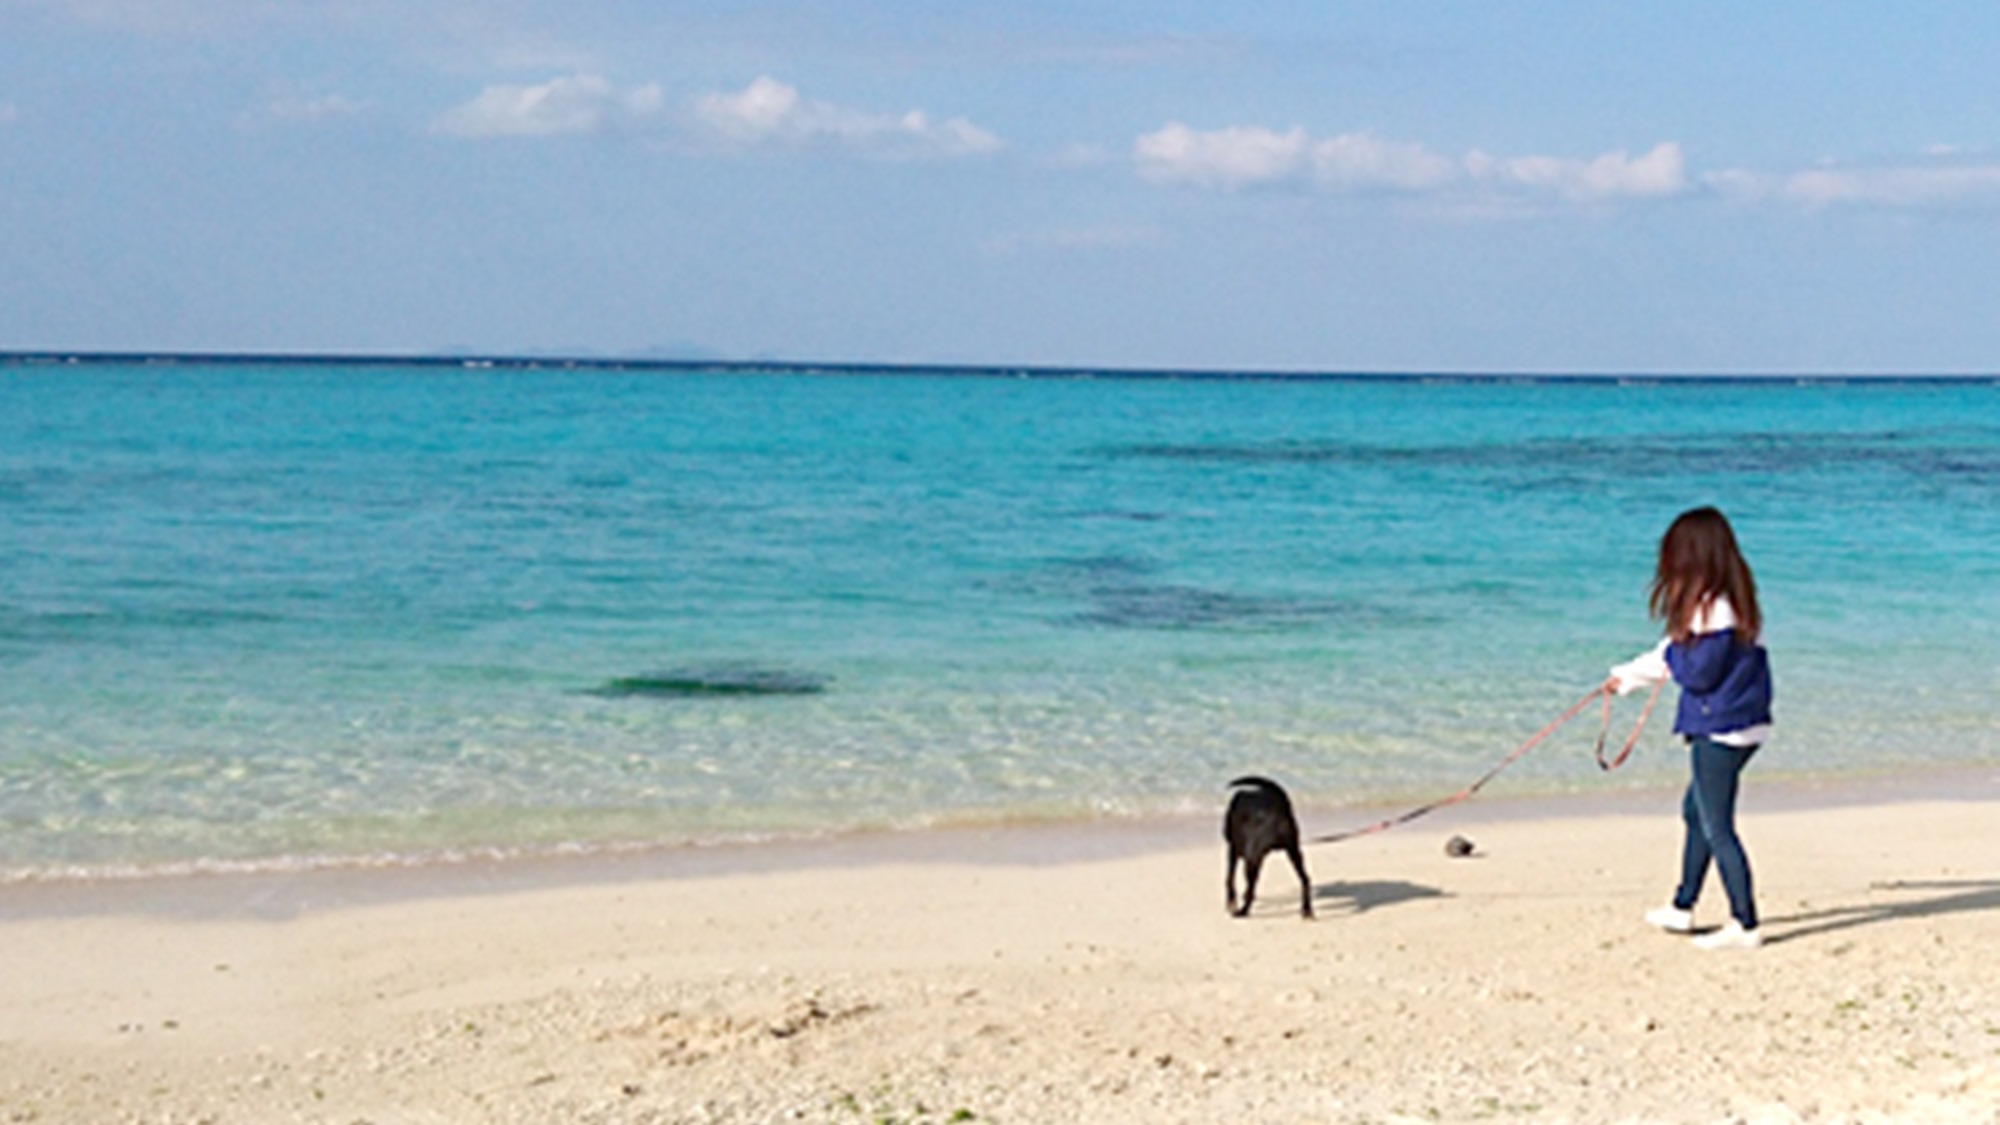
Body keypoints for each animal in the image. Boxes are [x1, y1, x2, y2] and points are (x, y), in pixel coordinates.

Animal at [1216, 776, 1312, 916]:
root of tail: (1278, 808)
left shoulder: (1234, 850)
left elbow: (1230, 879)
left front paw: (1231, 902)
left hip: (1252, 857)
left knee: (1250, 888)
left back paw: (1242, 911)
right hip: (1293, 851)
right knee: (1305, 879)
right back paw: (1306, 909)